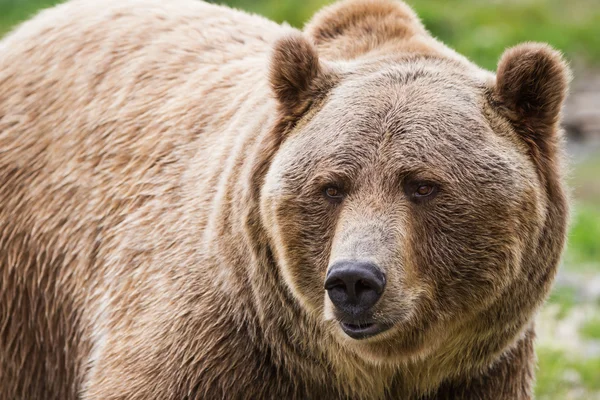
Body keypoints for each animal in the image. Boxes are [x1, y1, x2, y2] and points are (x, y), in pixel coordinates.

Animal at [0, 0, 568, 396]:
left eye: (423, 185)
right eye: (332, 186)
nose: (355, 280)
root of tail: (32, 26)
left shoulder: (477, 373)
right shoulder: (214, 344)